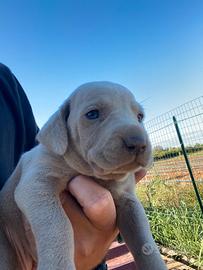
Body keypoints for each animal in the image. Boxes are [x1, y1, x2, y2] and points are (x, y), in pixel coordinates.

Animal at [0, 82, 167, 270]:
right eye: (92, 114)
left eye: (140, 116)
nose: (138, 142)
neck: (90, 173)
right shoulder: (36, 185)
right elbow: (58, 224)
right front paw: (58, 265)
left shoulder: (128, 200)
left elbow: (143, 237)